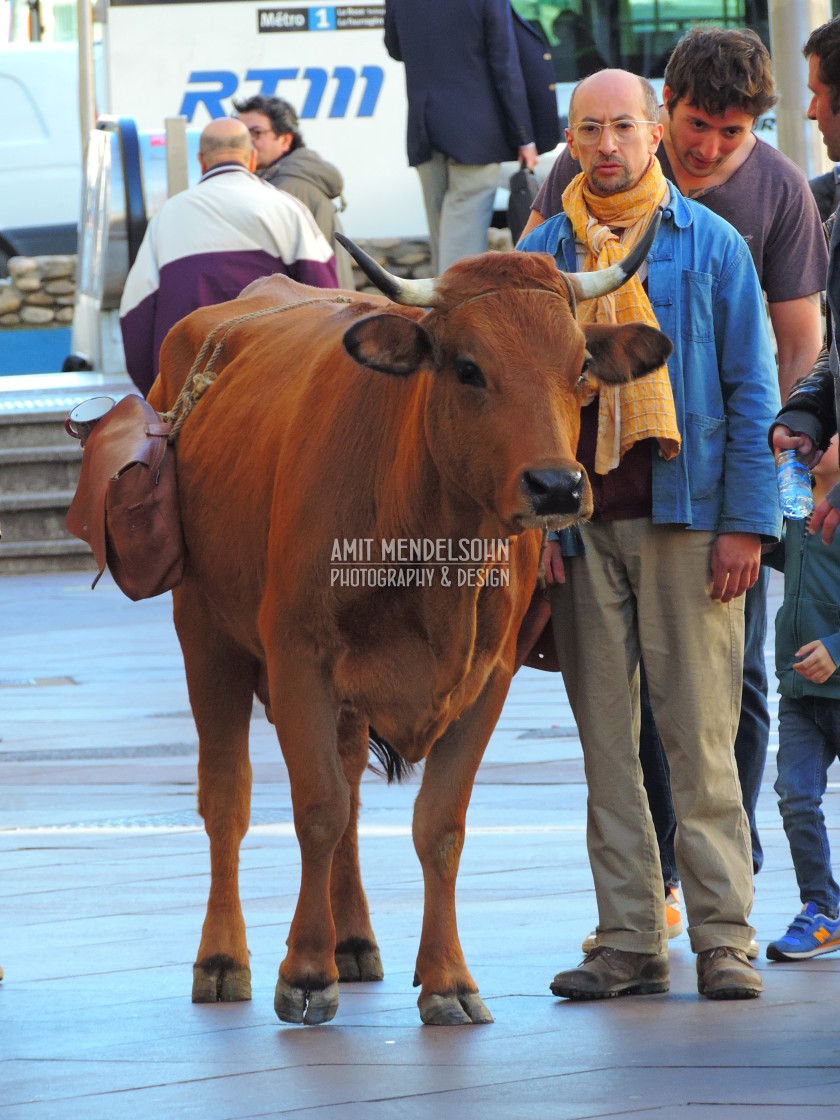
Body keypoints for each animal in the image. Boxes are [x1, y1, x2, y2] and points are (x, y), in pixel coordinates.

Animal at [144, 222, 672, 1025]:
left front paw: (448, 978)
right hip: (204, 630)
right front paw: (304, 972)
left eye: (581, 366)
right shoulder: (298, 659)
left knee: (354, 799)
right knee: (228, 800)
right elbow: (316, 808)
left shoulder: (488, 678)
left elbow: (438, 826)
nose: (557, 486)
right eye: (467, 368)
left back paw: (354, 942)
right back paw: (224, 957)